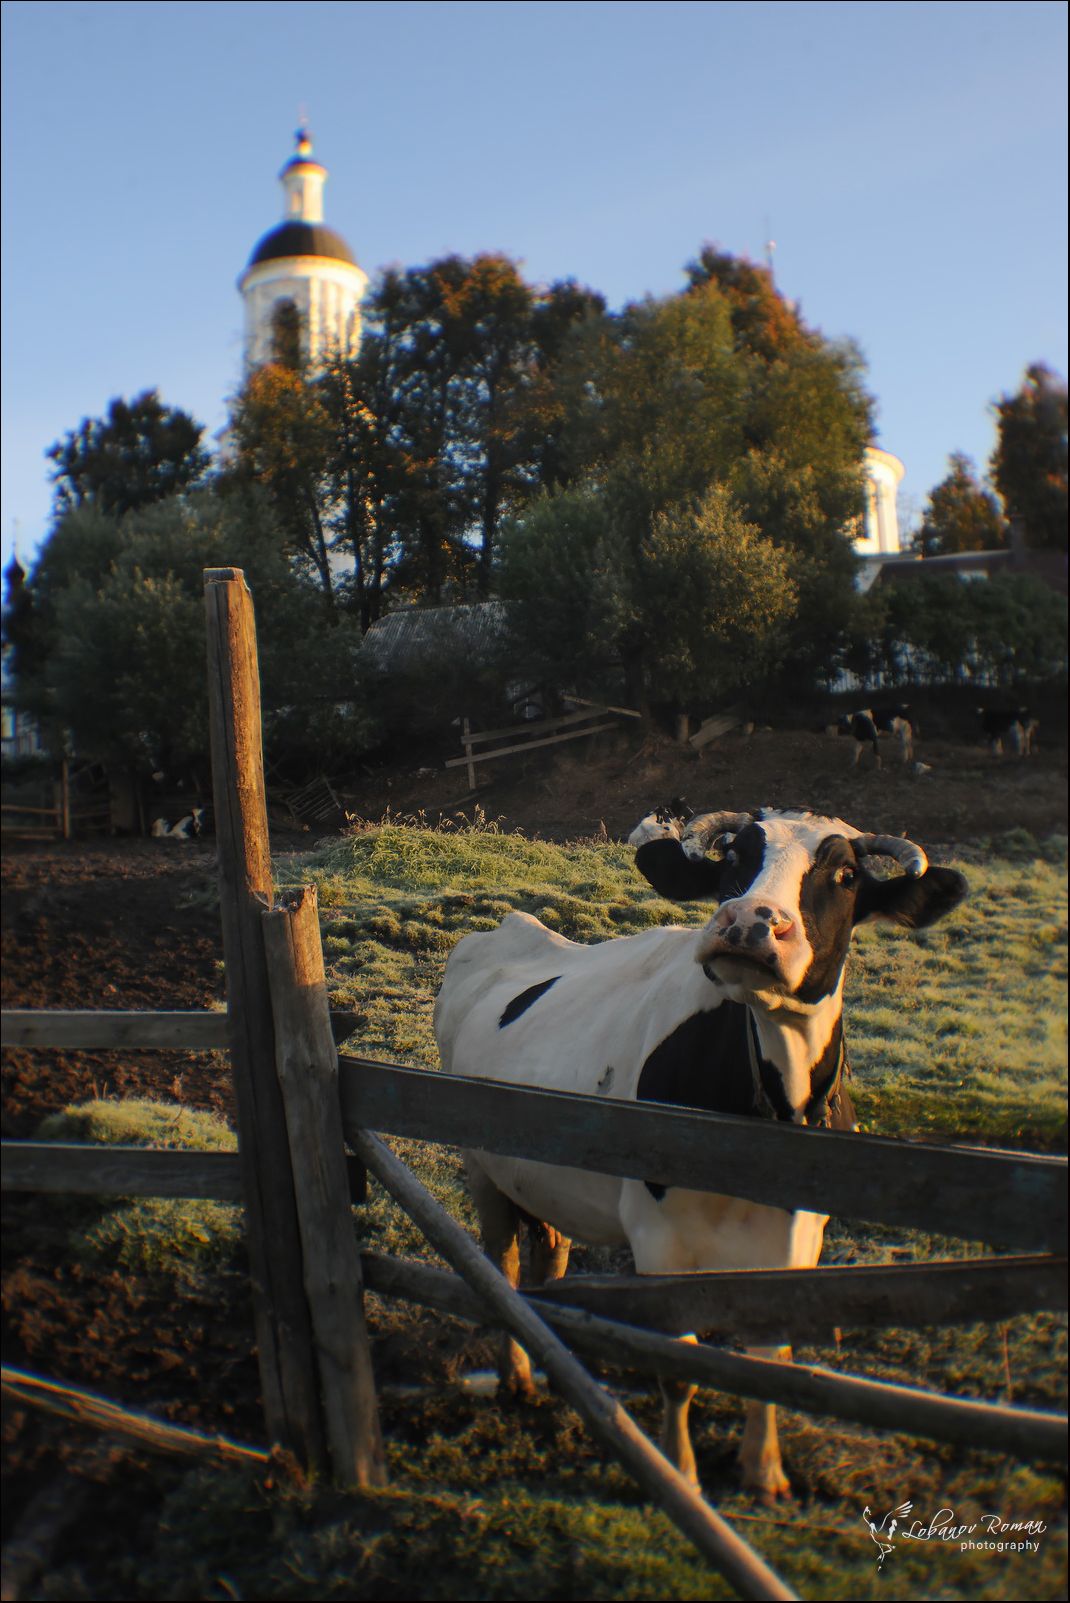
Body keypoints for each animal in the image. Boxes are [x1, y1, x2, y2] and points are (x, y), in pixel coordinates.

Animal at [434, 804, 967, 1500]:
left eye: (846, 875)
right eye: (734, 860)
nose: (748, 921)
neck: (766, 1114)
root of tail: (509, 928)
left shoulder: (797, 1239)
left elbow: (771, 1359)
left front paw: (763, 1470)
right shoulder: (659, 1238)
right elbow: (678, 1368)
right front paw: (680, 1472)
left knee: (549, 1252)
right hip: (481, 1166)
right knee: (501, 1263)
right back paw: (518, 1377)